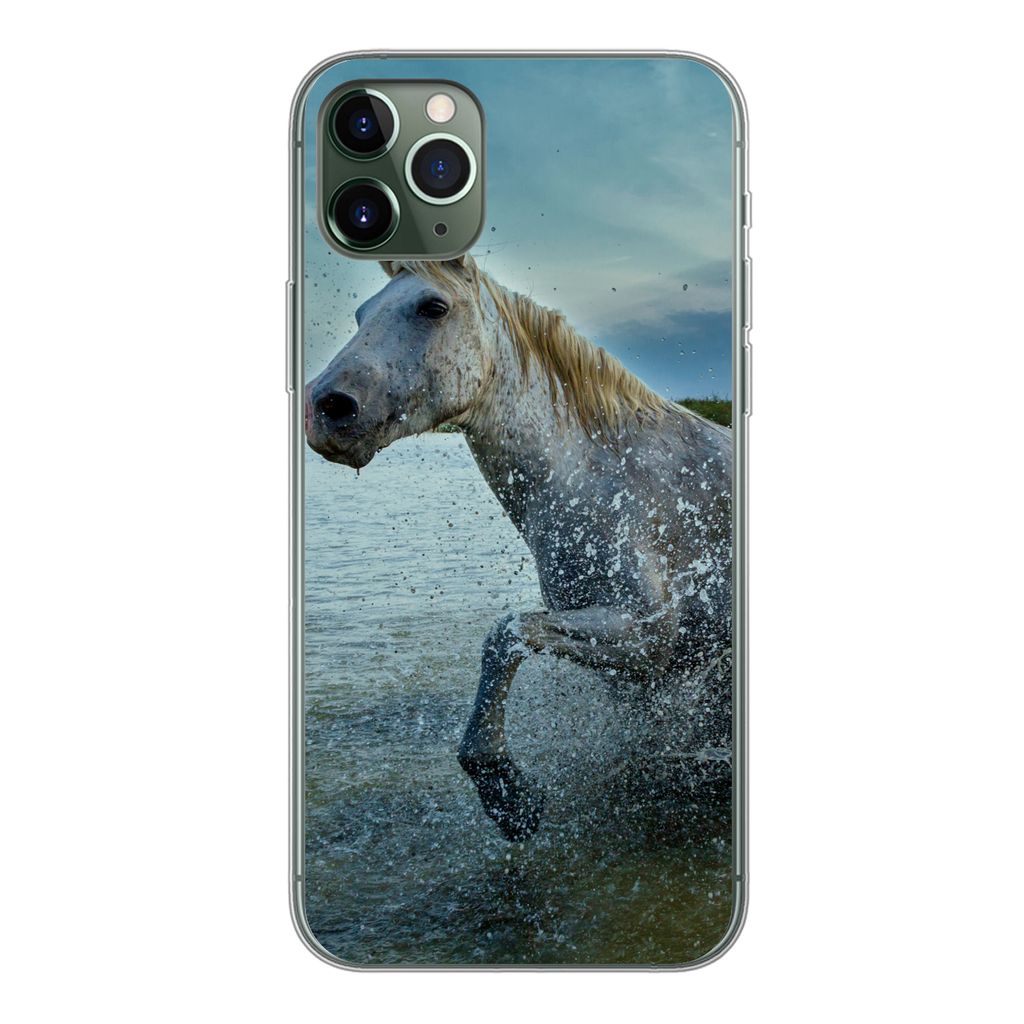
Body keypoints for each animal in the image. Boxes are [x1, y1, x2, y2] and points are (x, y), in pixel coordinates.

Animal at [305, 256, 733, 841]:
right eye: (360, 313)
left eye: (433, 306)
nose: (326, 407)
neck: (600, 475)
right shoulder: (634, 664)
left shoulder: (650, 637)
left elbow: (505, 635)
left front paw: (505, 790)